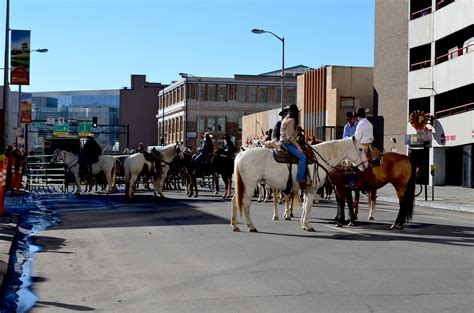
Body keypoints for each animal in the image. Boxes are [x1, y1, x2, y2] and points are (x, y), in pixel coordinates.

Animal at [231, 136, 368, 232]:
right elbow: (308, 207)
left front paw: (303, 224)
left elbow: (305, 206)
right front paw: (308, 226)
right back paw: (251, 226)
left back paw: (235, 226)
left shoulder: (307, 189)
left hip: (243, 186)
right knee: (245, 203)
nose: (366, 165)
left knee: (234, 200)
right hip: (249, 185)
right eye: (360, 149)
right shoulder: (312, 188)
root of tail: (241, 154)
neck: (320, 157)